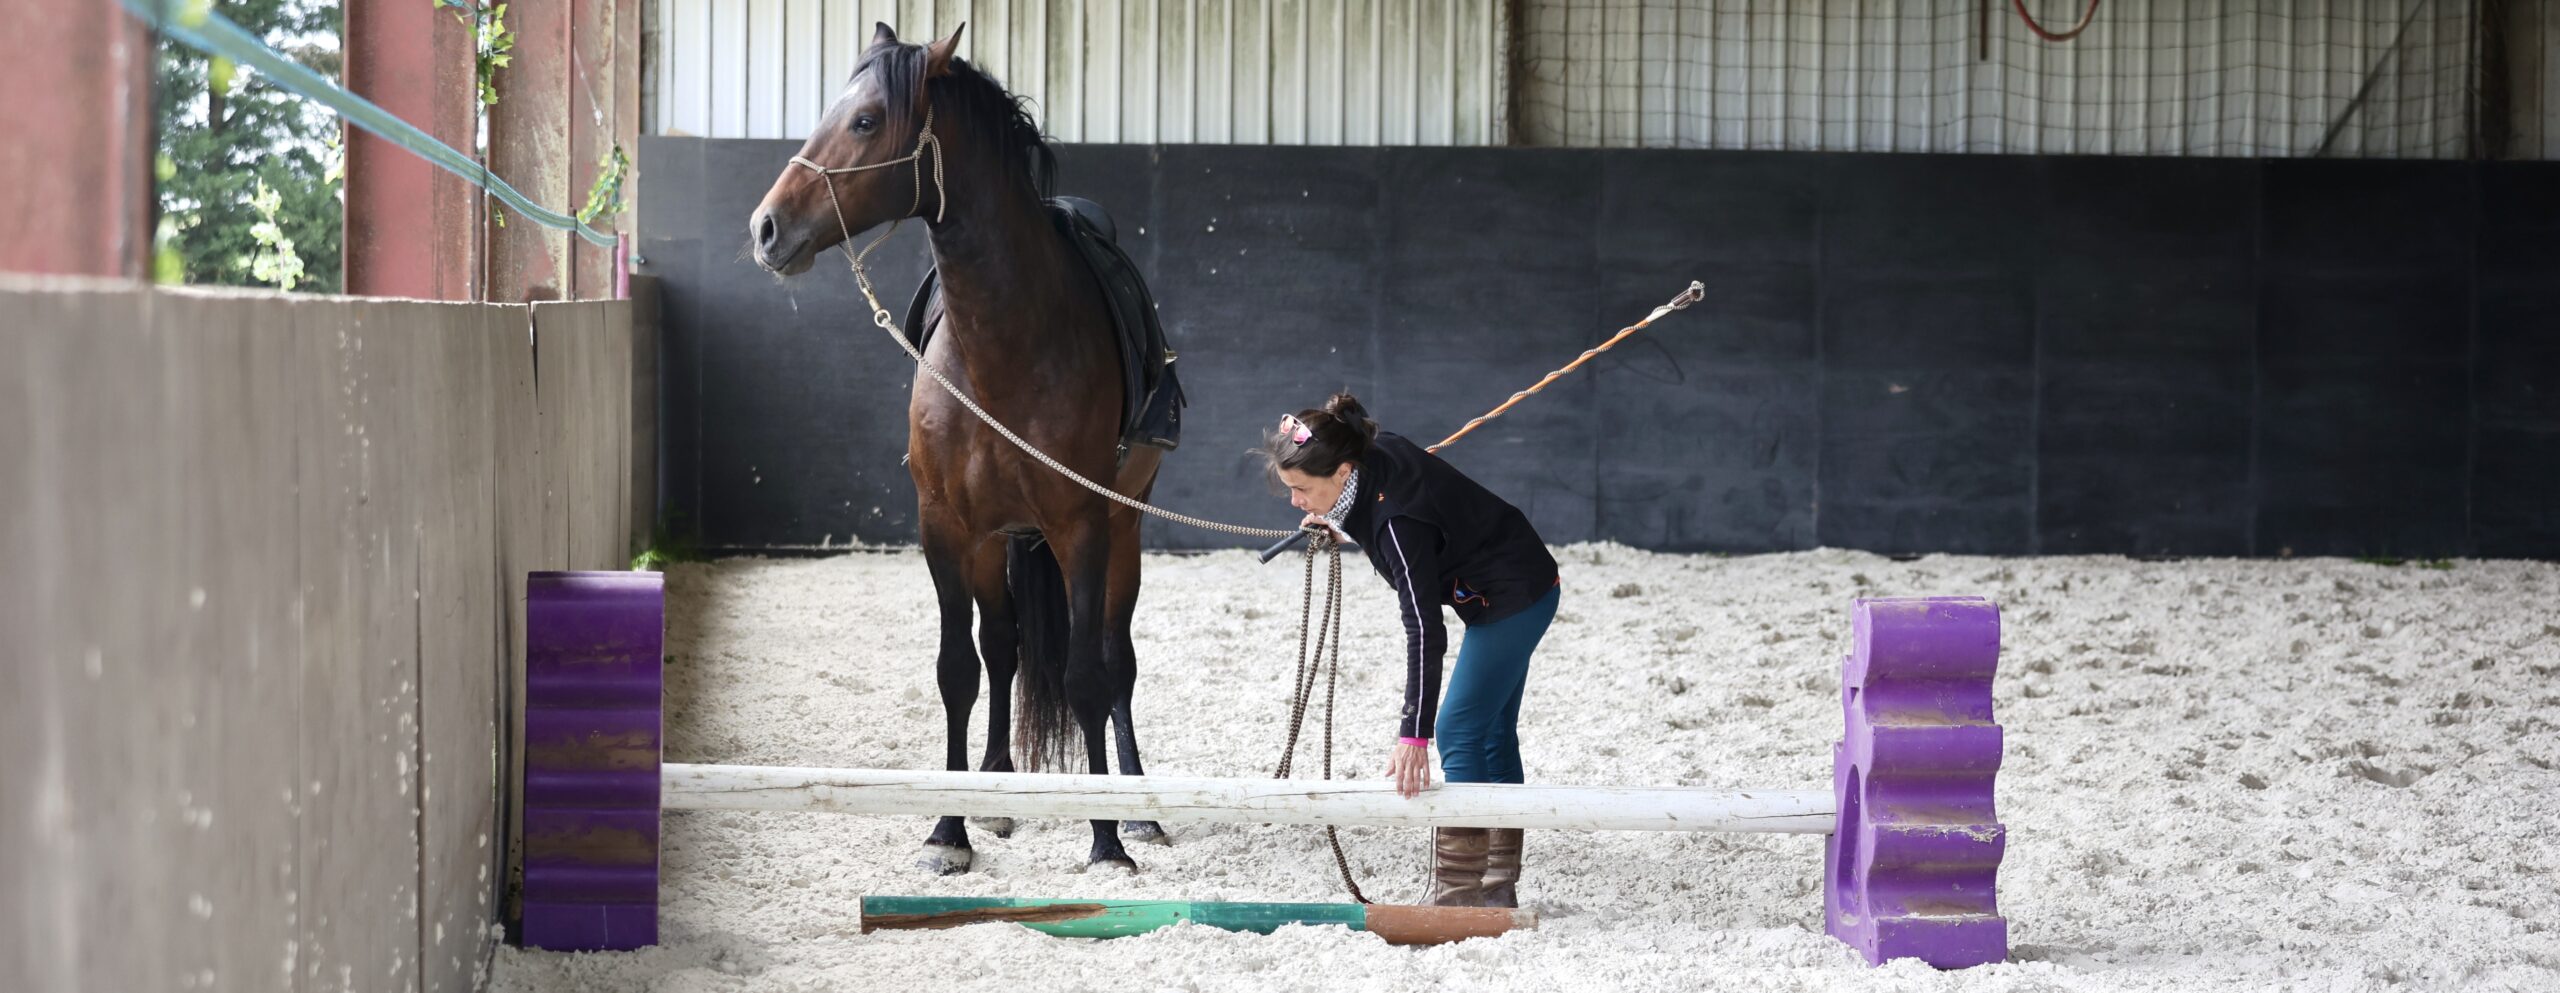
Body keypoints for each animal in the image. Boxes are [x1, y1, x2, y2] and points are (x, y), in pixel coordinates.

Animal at [746, 22, 1165, 874]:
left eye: (867, 120)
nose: (766, 228)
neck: (1007, 347)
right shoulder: (944, 526)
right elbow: (958, 670)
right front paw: (949, 828)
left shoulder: (1081, 527)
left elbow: (1086, 674)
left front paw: (1105, 836)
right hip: (996, 540)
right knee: (1002, 648)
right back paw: (997, 787)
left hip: (1124, 527)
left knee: (1117, 656)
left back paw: (1136, 808)